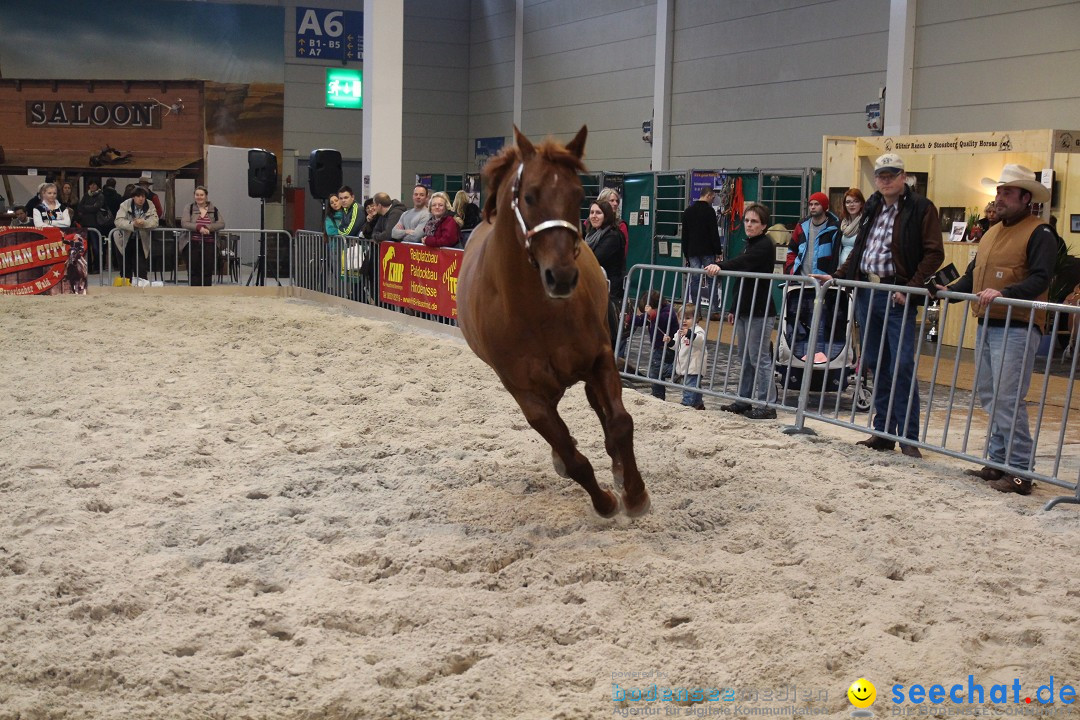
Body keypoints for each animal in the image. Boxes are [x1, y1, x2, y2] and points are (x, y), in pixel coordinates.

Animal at [457, 125, 648, 518]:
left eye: (578, 195)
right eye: (529, 196)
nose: (561, 277)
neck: (536, 312)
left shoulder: (600, 359)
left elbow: (621, 423)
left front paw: (635, 493)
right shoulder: (527, 395)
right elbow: (573, 458)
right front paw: (605, 502)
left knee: (599, 407)